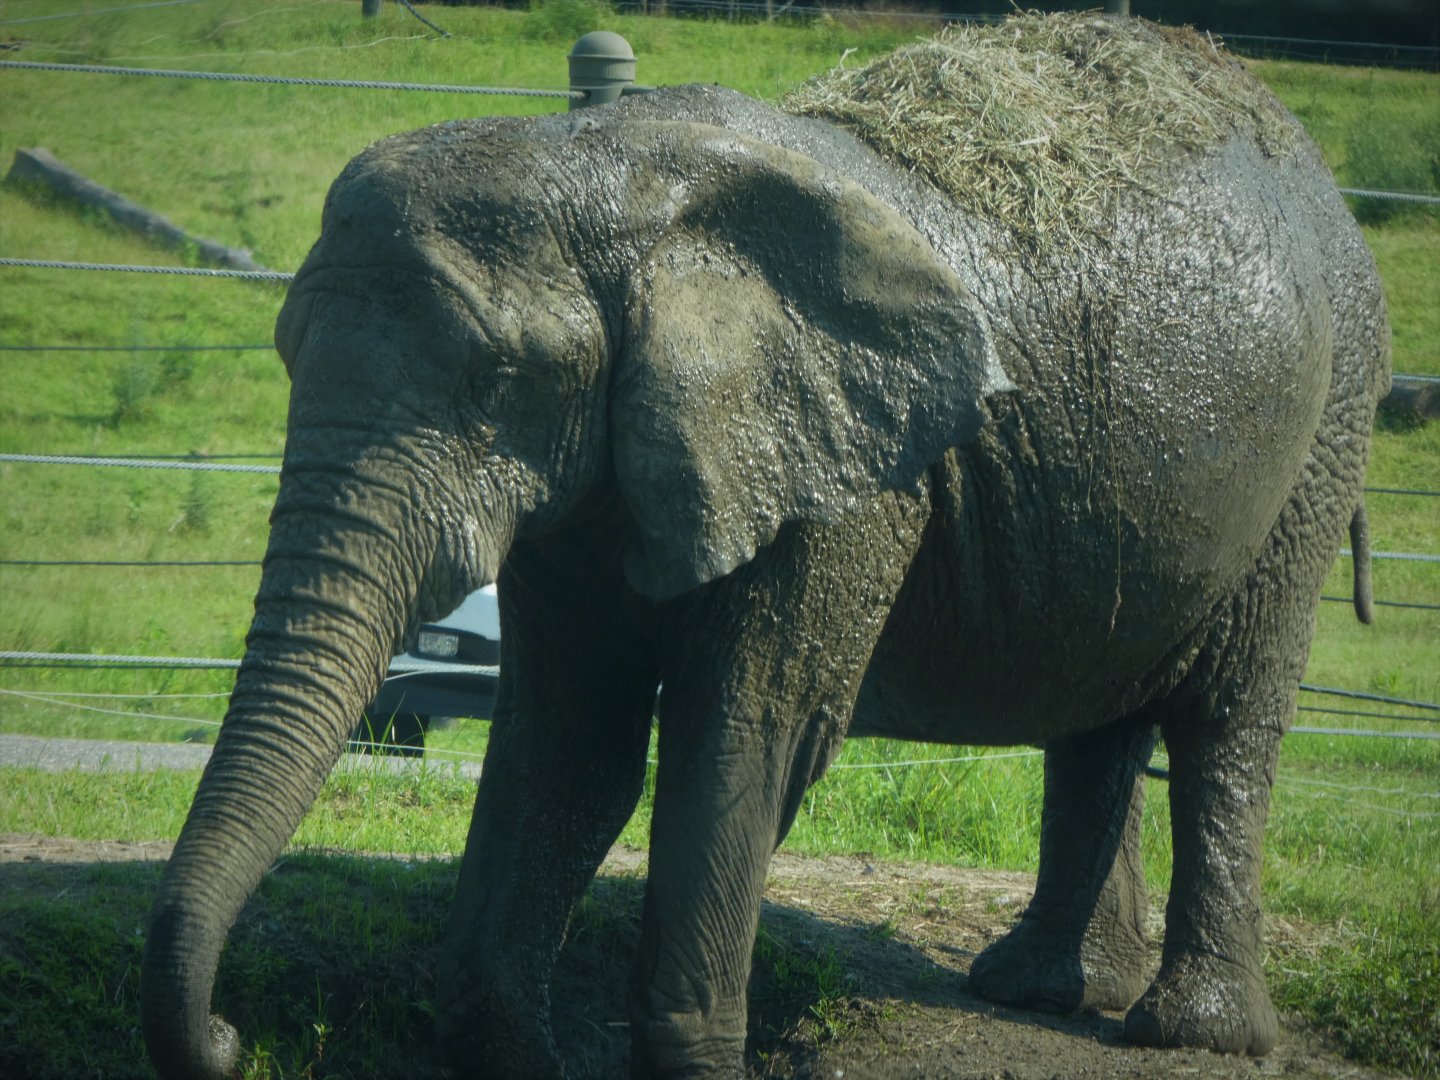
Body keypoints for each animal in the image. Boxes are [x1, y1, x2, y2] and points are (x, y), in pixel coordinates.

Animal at [140, 35, 1389, 1080]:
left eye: (500, 381)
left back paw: (1190, 1031)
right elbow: (570, 741)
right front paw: (516, 1052)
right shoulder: (599, 481)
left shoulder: (855, 483)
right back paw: (1038, 990)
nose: (230, 1032)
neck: (623, 176)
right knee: (1100, 706)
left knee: (1228, 716)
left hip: (1328, 434)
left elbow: (748, 732)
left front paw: (692, 1061)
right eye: (287, 353)